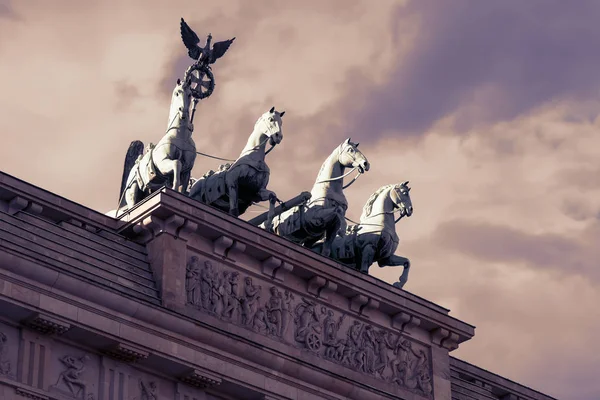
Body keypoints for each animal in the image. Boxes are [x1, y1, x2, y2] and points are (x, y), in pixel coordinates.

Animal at [119, 70, 197, 211]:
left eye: (190, 94)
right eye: (177, 92)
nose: (182, 111)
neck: (180, 135)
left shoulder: (187, 170)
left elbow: (183, 186)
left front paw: (178, 191)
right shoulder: (162, 164)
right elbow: (177, 163)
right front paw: (174, 187)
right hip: (132, 191)